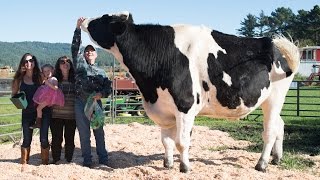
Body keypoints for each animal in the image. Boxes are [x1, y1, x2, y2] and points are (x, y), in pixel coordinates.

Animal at [80, 11, 300, 173]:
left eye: (103, 19)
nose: (82, 19)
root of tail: (272, 44)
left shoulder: (185, 106)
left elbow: (181, 141)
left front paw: (184, 167)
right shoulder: (164, 108)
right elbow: (166, 140)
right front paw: (168, 164)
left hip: (274, 98)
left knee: (270, 131)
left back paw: (262, 164)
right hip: (270, 101)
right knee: (280, 125)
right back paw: (276, 158)